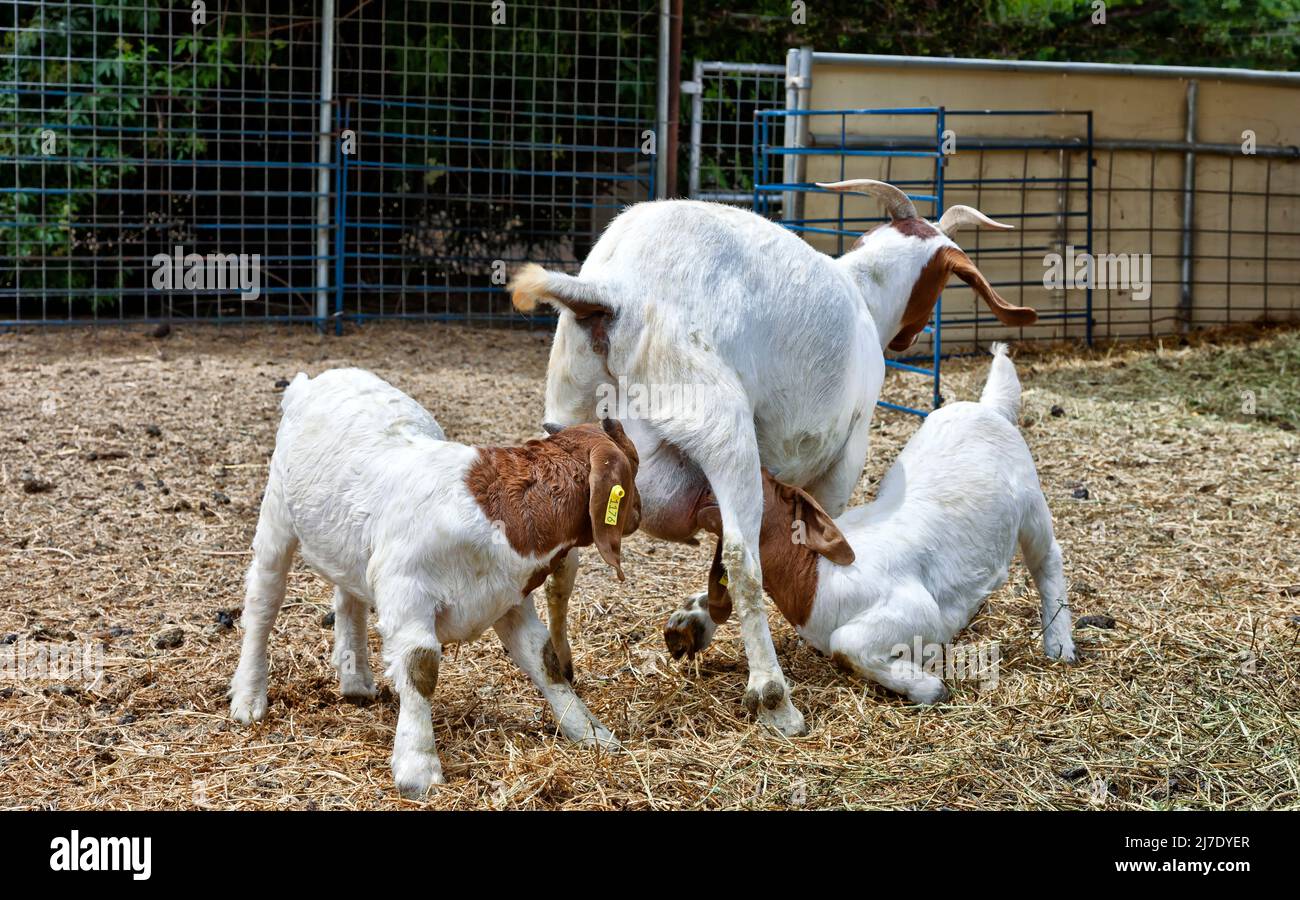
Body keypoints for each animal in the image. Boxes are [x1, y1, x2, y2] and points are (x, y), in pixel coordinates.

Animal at [512, 179, 1029, 733]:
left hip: (569, 411)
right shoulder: (844, 454)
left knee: (565, 555)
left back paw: (563, 662)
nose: (910, 337)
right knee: (744, 555)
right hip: (721, 424)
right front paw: (703, 623)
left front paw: (693, 621)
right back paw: (775, 698)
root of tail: (614, 294)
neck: (863, 295)